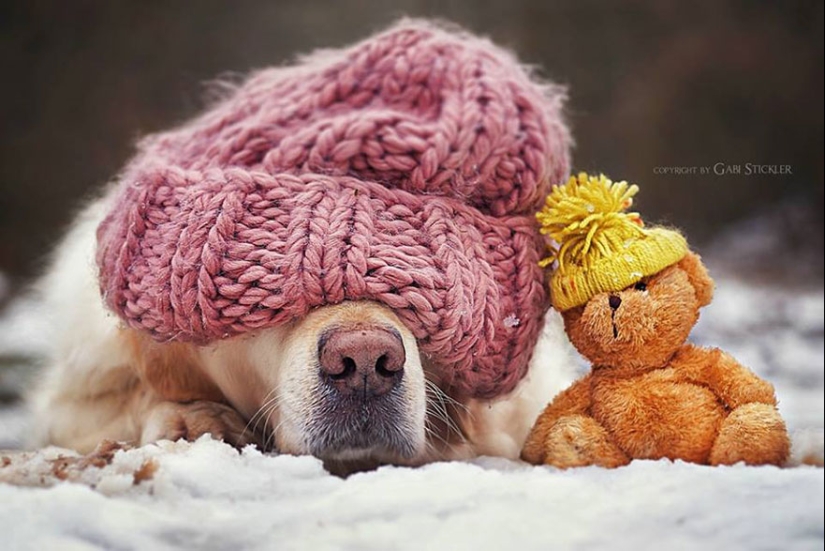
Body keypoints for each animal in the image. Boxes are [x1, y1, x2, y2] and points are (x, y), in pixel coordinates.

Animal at [29, 196, 576, 472]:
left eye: (411, 299)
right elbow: (137, 394)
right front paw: (193, 417)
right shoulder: (74, 397)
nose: (365, 363)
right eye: (273, 298)